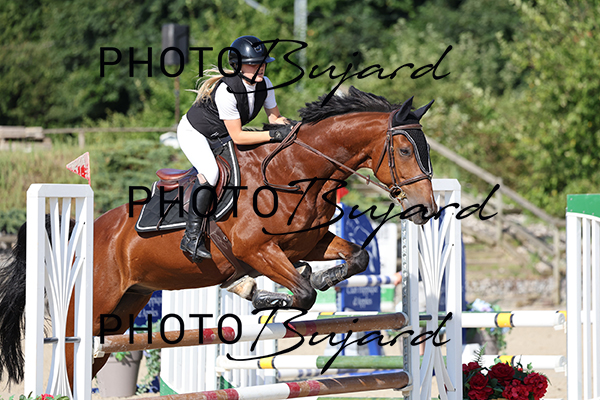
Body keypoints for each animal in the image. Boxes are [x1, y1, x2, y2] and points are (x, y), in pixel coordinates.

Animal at [0, 86, 437, 386]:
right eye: (403, 150)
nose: (426, 209)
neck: (295, 171)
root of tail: (81, 232)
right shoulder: (257, 250)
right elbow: (303, 293)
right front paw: (260, 294)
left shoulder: (309, 242)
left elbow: (357, 259)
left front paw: (323, 277)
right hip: (89, 313)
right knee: (70, 361)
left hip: (124, 307)